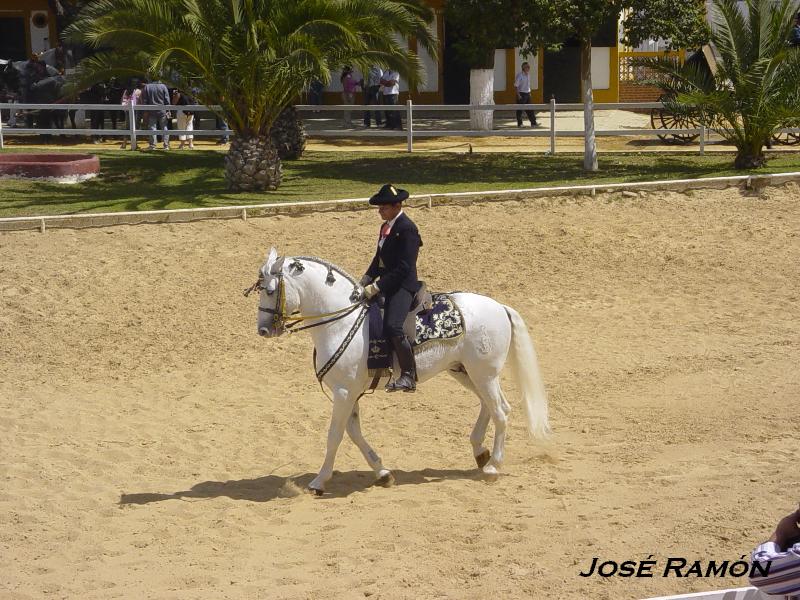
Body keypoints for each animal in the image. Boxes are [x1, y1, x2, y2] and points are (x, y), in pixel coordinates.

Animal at [252, 246, 552, 494]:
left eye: (269, 290)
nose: (263, 330)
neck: (341, 321)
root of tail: (499, 306)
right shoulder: (350, 393)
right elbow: (354, 432)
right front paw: (383, 473)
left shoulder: (343, 391)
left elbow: (335, 435)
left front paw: (318, 481)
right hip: (465, 372)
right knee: (490, 405)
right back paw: (480, 452)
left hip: (483, 373)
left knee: (501, 411)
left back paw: (492, 467)